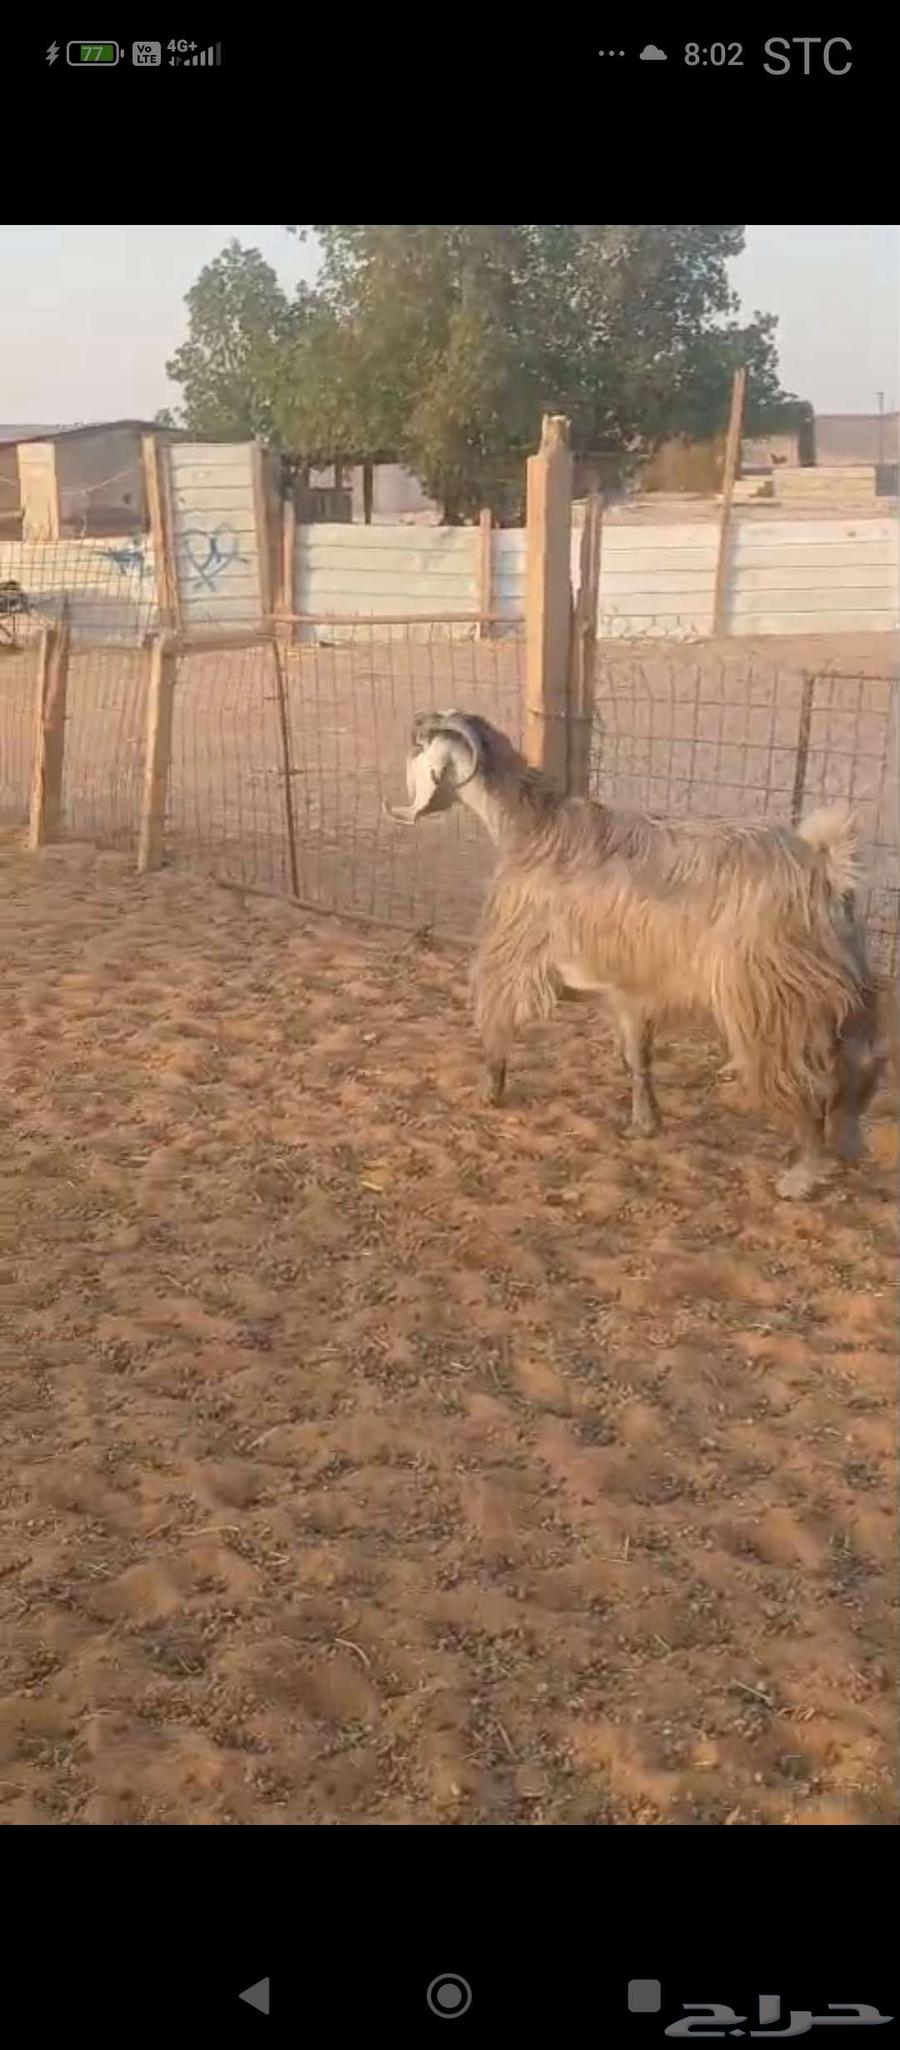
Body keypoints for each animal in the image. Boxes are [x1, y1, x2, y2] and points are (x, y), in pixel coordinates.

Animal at [385, 709, 882, 1200]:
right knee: (861, 1061)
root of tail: (825, 869)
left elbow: (498, 1018)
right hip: (836, 986)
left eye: (419, 746)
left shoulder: (516, 951)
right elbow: (637, 1056)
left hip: (773, 998)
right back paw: (848, 1141)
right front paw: (645, 1123)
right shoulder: (628, 986)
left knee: (805, 1076)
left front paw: (489, 1090)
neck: (531, 824)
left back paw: (805, 1173)